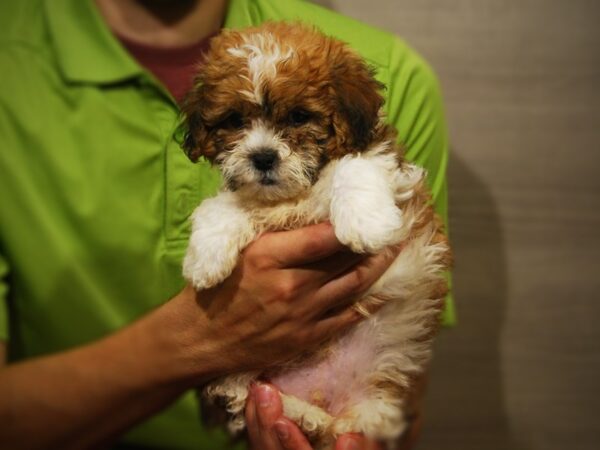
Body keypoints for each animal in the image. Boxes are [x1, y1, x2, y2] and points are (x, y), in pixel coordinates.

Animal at [178, 22, 450, 450]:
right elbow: (220, 206)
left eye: (298, 116)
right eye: (235, 120)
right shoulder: (251, 197)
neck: (296, 195)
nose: (263, 157)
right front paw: (205, 259)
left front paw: (365, 224)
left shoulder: (379, 159)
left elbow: (353, 166)